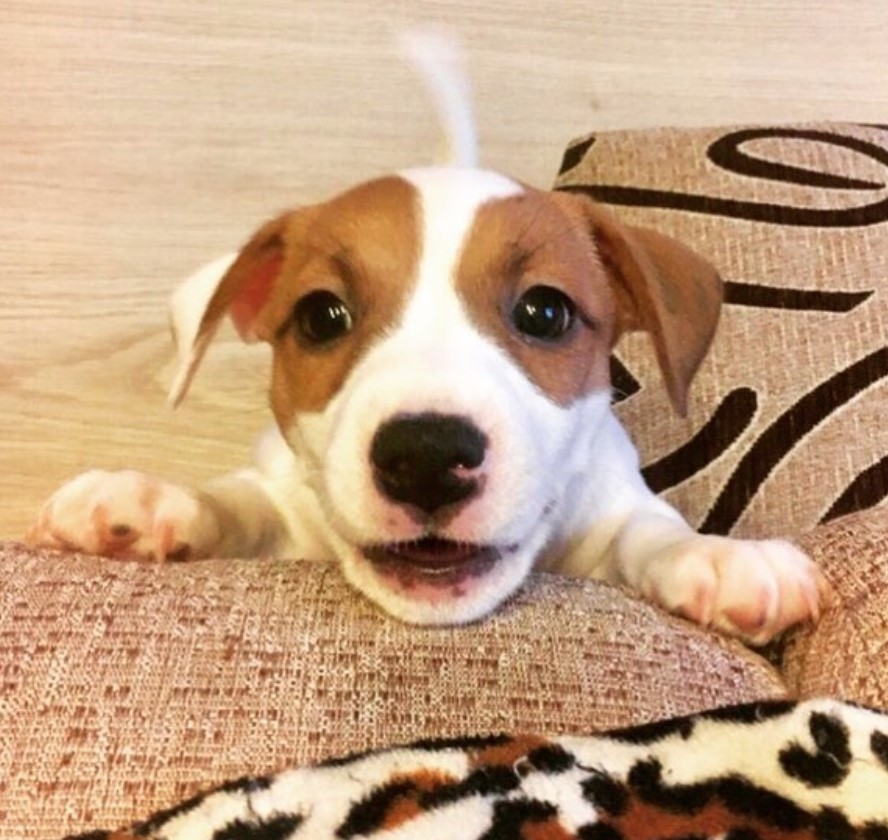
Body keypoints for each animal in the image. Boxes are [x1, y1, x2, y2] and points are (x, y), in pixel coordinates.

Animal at [29, 34, 832, 644]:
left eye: (546, 313)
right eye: (322, 316)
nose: (426, 455)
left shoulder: (611, 507)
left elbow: (648, 532)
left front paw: (719, 558)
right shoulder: (287, 502)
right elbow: (242, 503)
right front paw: (149, 501)